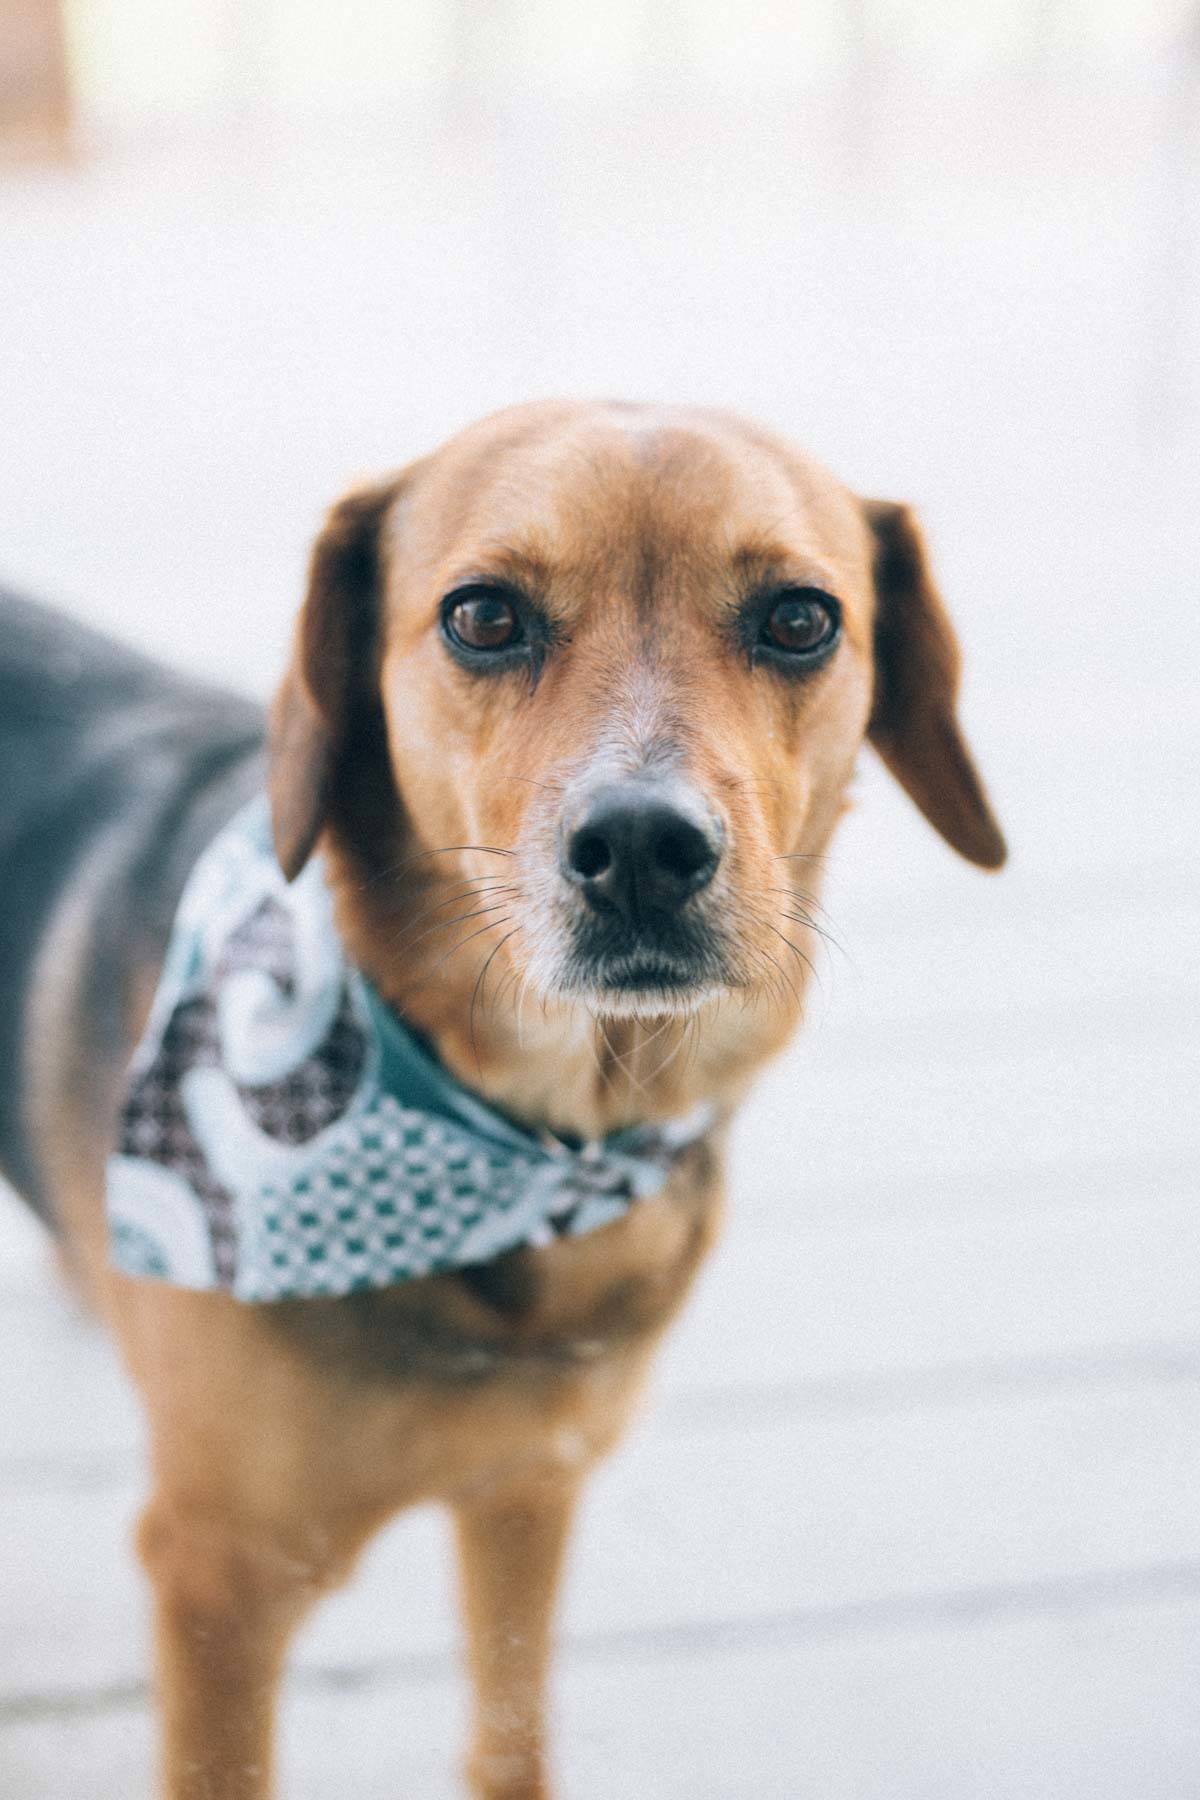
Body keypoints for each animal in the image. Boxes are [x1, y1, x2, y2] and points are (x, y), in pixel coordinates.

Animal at [2, 401, 1007, 1792]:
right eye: (483, 616)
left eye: (801, 618)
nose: (641, 848)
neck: (544, 1145)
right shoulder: (218, 1582)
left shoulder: (530, 1488)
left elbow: (509, 1736)